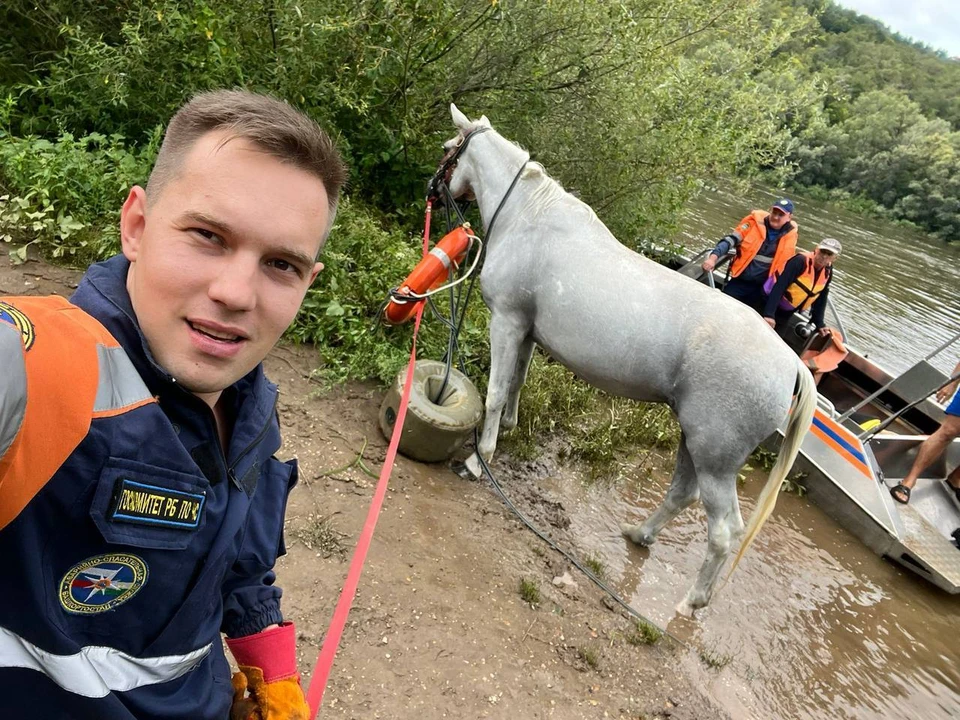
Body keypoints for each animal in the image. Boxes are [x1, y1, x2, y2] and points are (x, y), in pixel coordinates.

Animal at [442, 104, 816, 612]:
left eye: (448, 149)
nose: (435, 186)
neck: (527, 216)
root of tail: (792, 363)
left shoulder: (505, 321)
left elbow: (497, 392)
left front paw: (480, 458)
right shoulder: (526, 330)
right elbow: (517, 382)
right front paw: (511, 430)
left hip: (716, 459)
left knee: (723, 532)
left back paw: (691, 601)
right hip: (693, 442)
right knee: (681, 495)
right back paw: (640, 534)